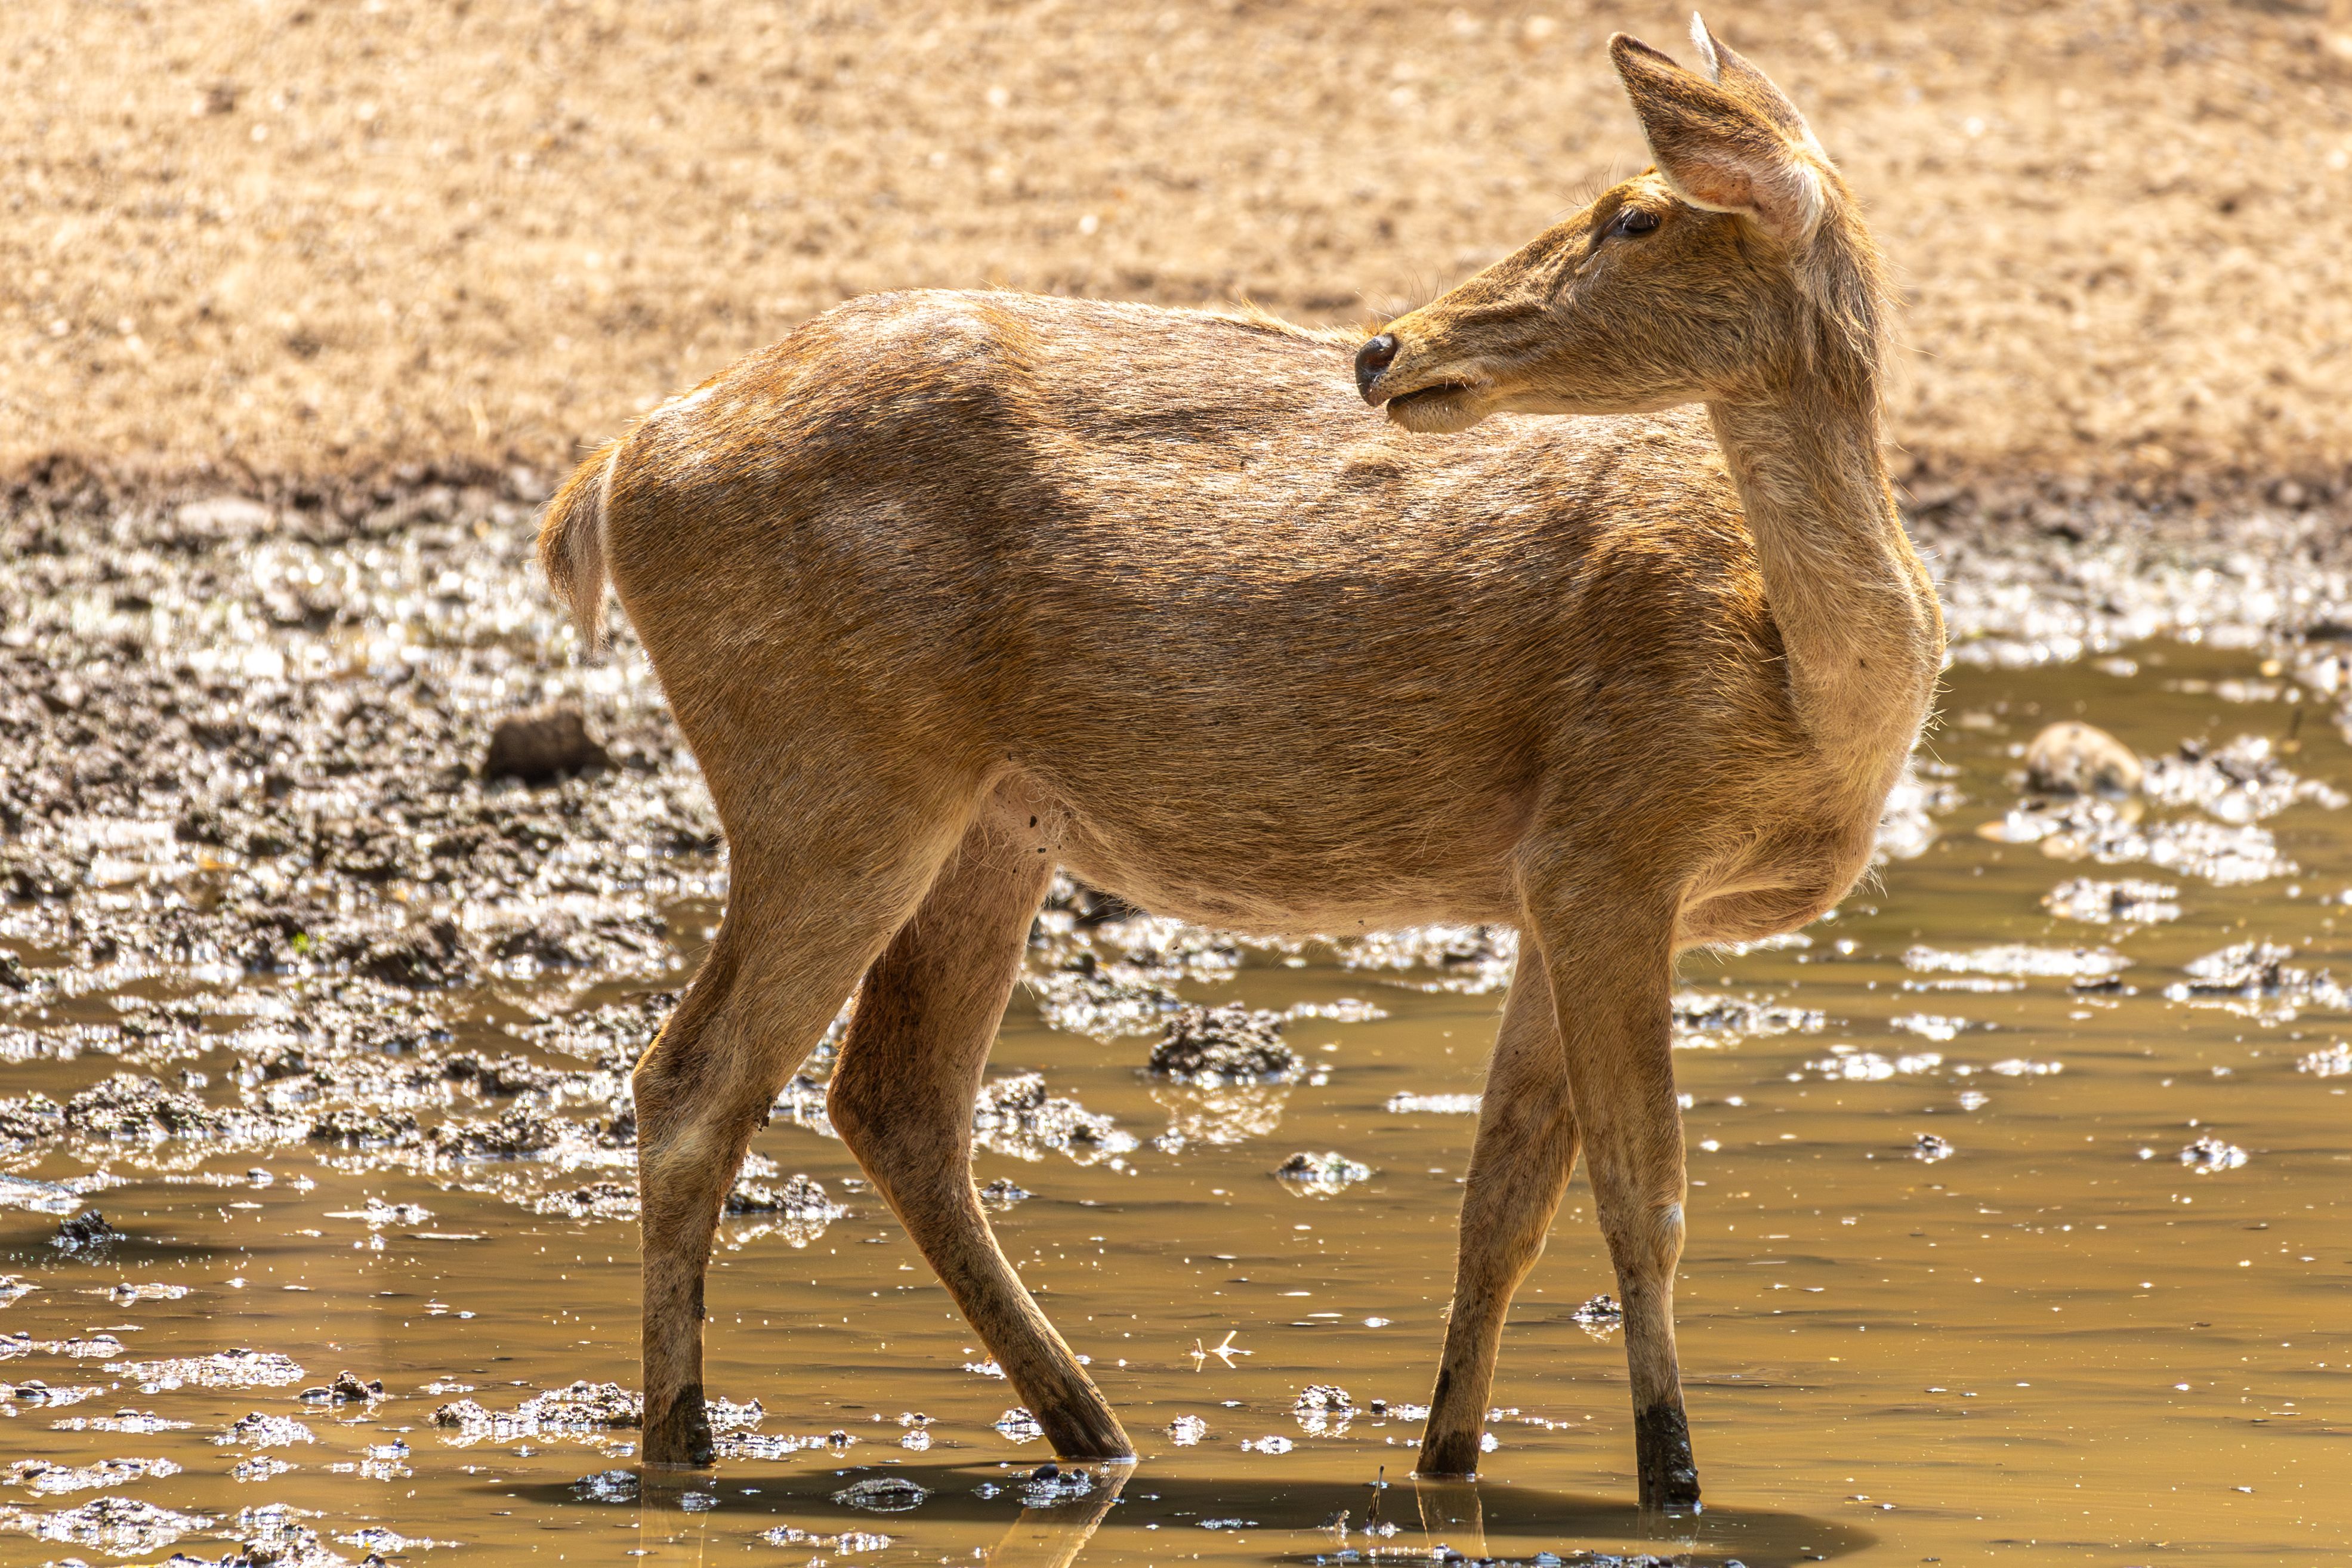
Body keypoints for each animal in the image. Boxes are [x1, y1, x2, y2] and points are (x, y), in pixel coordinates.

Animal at [534, 16, 1941, 1510]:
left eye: (1637, 215)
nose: (1384, 347)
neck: (1804, 692)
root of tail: (612, 474)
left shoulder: (1551, 883)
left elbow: (1500, 1206)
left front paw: (1447, 1464)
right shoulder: (1611, 840)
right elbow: (1646, 1196)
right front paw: (1674, 1485)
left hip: (990, 819)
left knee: (893, 1097)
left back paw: (1093, 1435)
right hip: (830, 778)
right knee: (695, 1082)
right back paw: (682, 1450)